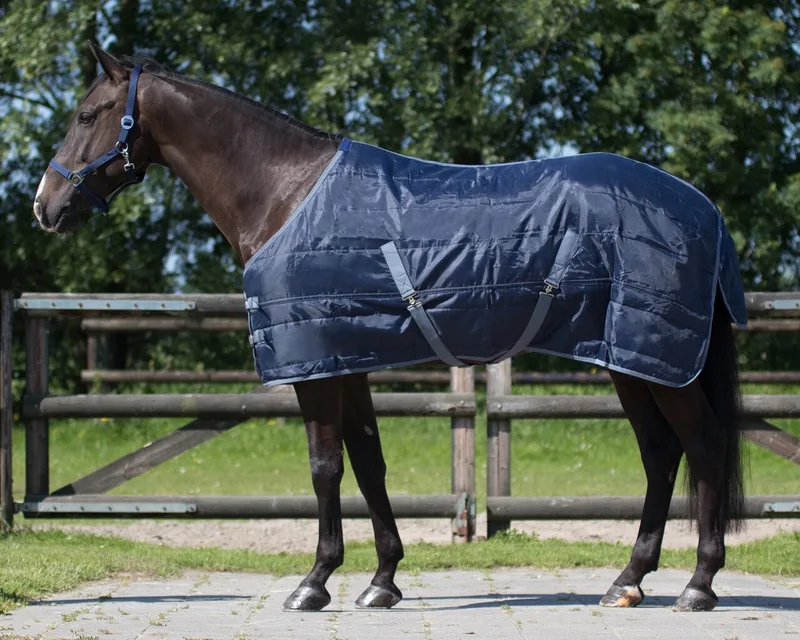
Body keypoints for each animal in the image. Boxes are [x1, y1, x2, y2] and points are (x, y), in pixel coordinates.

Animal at [33, 44, 746, 613]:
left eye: (86, 116)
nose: (45, 206)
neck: (286, 194)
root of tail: (705, 208)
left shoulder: (315, 362)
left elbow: (325, 466)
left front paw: (314, 582)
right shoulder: (346, 359)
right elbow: (368, 462)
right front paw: (382, 580)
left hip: (659, 359)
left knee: (705, 445)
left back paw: (699, 586)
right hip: (627, 358)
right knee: (662, 455)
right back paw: (628, 581)